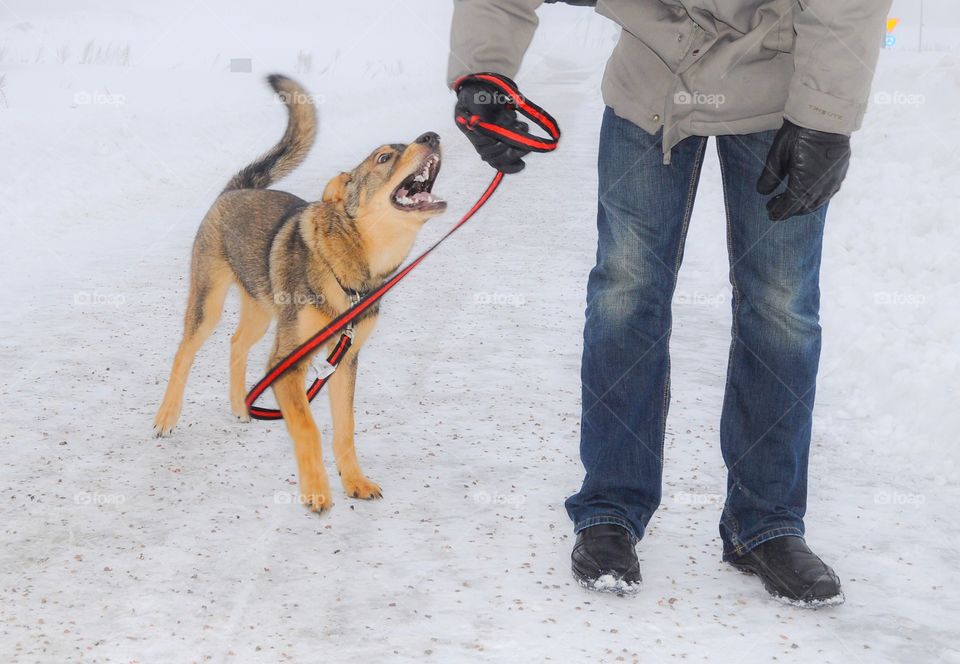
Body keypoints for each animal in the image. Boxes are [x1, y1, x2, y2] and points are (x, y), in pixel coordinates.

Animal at [153, 74, 446, 512]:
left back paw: (241, 406)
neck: (352, 267)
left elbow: (345, 428)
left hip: (262, 309)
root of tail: (237, 189)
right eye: (383, 158)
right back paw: (167, 417)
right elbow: (308, 427)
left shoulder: (344, 361)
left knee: (237, 343)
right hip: (209, 303)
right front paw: (316, 491)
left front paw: (354, 482)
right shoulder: (288, 364)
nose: (432, 135)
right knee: (184, 353)